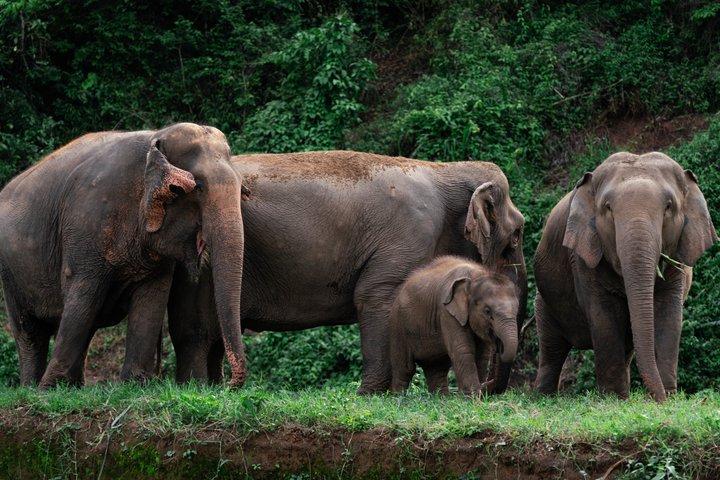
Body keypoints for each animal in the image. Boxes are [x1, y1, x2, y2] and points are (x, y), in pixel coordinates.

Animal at [0, 123, 247, 388]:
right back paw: (32, 386)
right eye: (199, 187)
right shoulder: (87, 223)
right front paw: (48, 389)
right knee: (30, 330)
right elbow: (83, 295)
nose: (228, 385)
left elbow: (152, 299)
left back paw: (73, 386)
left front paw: (134, 384)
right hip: (10, 272)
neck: (155, 137)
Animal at [389, 256, 519, 395]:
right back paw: (398, 396)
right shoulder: (446, 312)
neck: (477, 275)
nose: (499, 345)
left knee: (437, 368)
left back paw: (442, 397)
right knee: (405, 369)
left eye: (517, 309)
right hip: (398, 325)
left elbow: (482, 355)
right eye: (487, 311)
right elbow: (463, 349)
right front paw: (472, 397)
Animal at [533, 152, 717, 402]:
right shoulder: (582, 256)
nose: (657, 400)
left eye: (669, 207)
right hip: (544, 299)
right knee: (551, 348)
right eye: (608, 208)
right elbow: (603, 316)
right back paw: (544, 397)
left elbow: (669, 314)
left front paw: (668, 396)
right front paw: (613, 399)